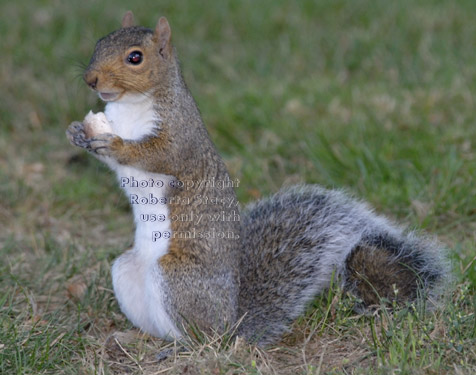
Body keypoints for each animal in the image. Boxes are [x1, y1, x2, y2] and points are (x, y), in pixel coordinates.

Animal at [66, 11, 446, 346]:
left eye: (135, 57)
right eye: (99, 42)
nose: (90, 80)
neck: (128, 108)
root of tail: (232, 323)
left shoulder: (180, 137)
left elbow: (158, 155)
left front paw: (114, 143)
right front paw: (77, 133)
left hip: (176, 281)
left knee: (199, 340)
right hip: (125, 271)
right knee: (162, 330)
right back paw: (132, 337)